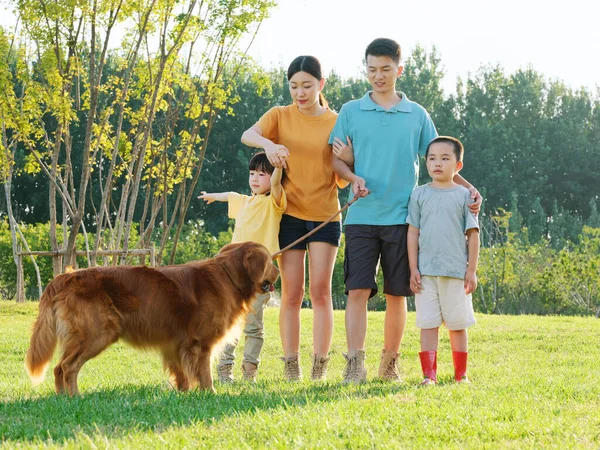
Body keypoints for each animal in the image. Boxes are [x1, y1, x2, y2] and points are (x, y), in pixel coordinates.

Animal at [25, 243, 278, 394]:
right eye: (269, 262)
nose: (278, 272)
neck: (228, 276)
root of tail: (64, 277)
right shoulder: (200, 343)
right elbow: (204, 372)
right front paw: (210, 393)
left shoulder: (176, 344)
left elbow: (182, 374)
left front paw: (184, 393)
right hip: (97, 334)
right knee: (67, 367)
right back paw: (75, 396)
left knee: (59, 368)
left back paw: (62, 397)